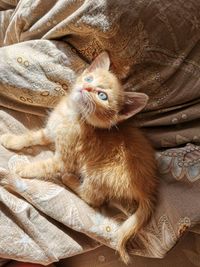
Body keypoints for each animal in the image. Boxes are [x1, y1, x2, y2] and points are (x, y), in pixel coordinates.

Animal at [0, 51, 159, 264]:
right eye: (90, 78)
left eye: (102, 95)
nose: (86, 87)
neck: (72, 114)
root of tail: (148, 189)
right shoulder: (49, 132)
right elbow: (33, 136)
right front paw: (11, 140)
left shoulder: (64, 160)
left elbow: (42, 166)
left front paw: (22, 169)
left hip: (98, 173)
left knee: (93, 199)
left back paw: (70, 179)